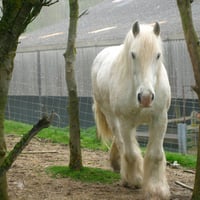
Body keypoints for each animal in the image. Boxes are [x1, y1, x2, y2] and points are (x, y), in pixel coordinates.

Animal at [91, 21, 171, 199]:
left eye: (158, 55)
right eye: (133, 55)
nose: (146, 97)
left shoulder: (160, 118)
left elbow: (156, 154)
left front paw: (157, 188)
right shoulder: (125, 121)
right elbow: (131, 152)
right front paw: (135, 180)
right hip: (112, 117)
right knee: (122, 144)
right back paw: (125, 172)